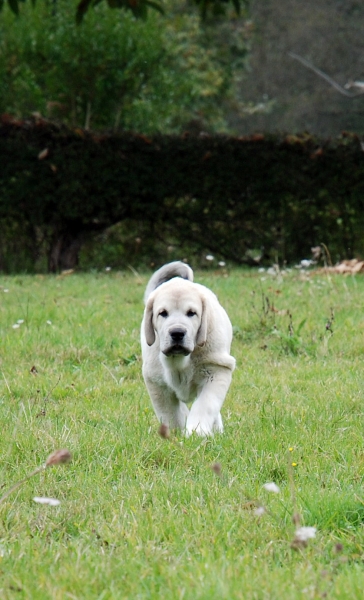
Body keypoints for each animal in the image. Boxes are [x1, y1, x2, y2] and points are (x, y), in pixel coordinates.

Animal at [141, 260, 235, 434]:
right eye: (162, 313)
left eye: (192, 313)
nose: (177, 333)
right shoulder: (157, 382)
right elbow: (170, 414)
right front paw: (174, 435)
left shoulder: (217, 369)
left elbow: (205, 405)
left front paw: (197, 432)